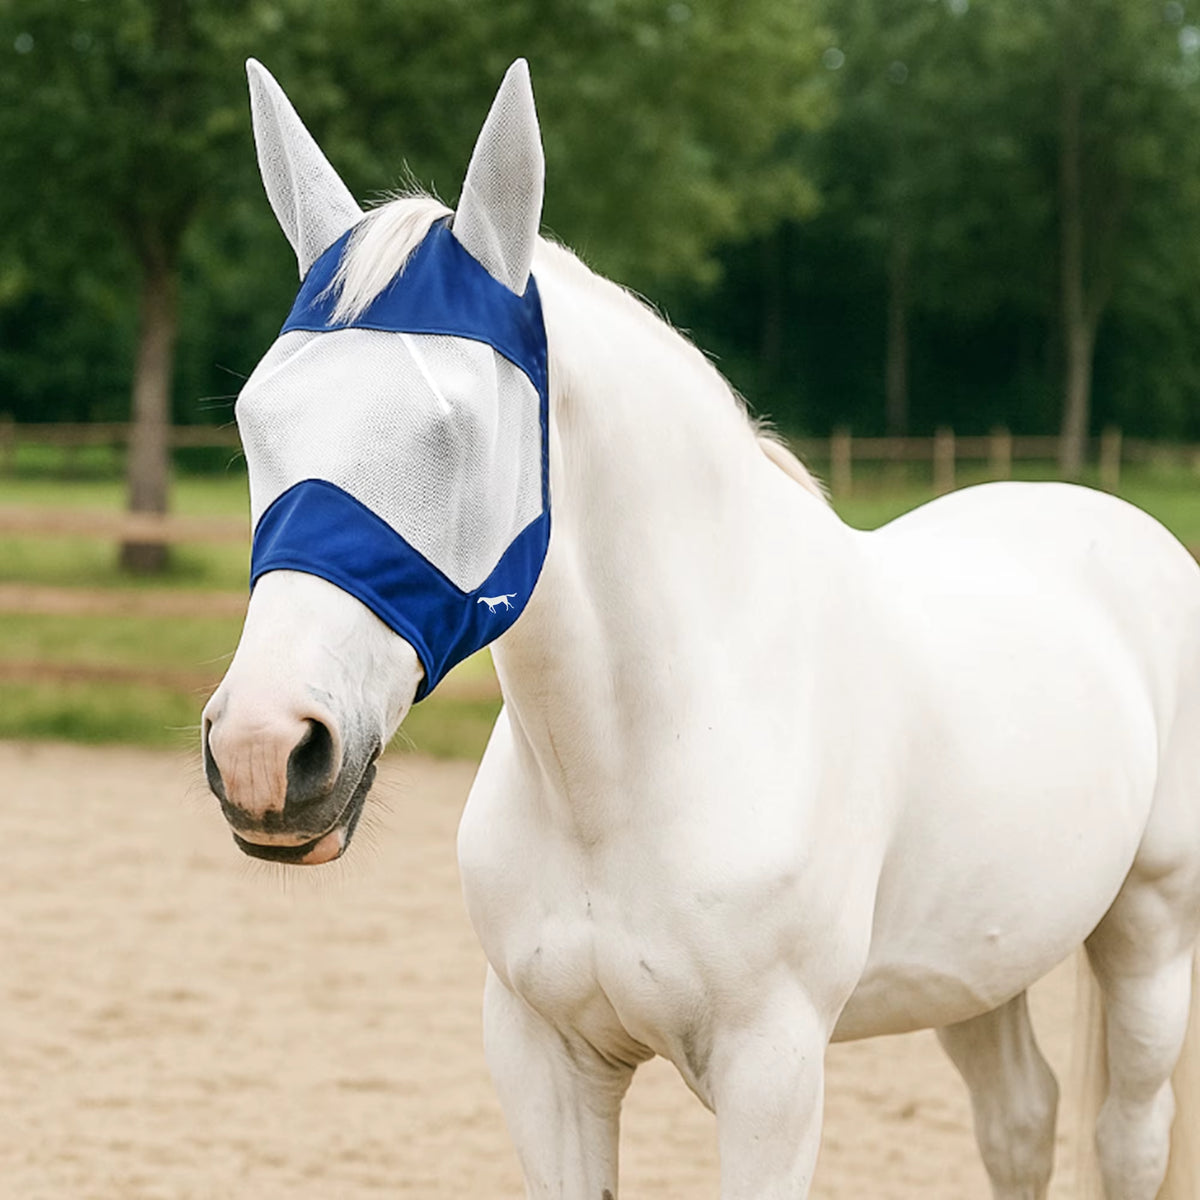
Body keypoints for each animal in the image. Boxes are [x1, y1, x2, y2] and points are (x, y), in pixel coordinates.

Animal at [202, 58, 1200, 1199]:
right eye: (254, 418)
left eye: (456, 431)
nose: (264, 749)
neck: (629, 772)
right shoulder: (543, 1059)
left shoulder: (774, 1075)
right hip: (981, 961)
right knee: (1021, 1119)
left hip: (1150, 937)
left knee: (1127, 1137)